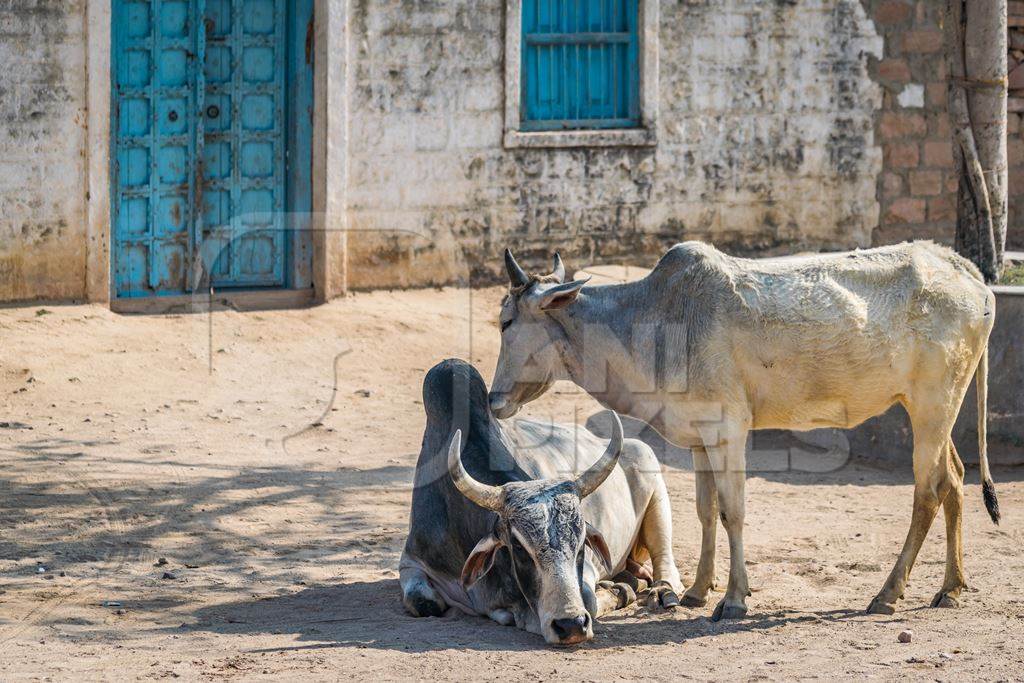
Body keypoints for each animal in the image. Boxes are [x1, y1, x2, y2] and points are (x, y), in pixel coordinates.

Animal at [399, 358, 679, 647]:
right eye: (518, 548)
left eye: (581, 544)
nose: (571, 625)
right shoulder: (412, 561)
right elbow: (424, 603)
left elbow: (590, 601)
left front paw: (618, 590)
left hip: (652, 474)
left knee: (665, 560)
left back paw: (661, 591)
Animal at [487, 242, 999, 622]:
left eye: (507, 321)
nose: (494, 400)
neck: (651, 320)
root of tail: (970, 276)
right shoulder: (701, 436)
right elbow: (705, 511)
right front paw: (697, 590)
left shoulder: (729, 430)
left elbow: (732, 512)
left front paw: (733, 599)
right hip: (936, 409)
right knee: (954, 479)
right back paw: (952, 588)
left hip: (932, 407)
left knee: (928, 491)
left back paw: (888, 593)